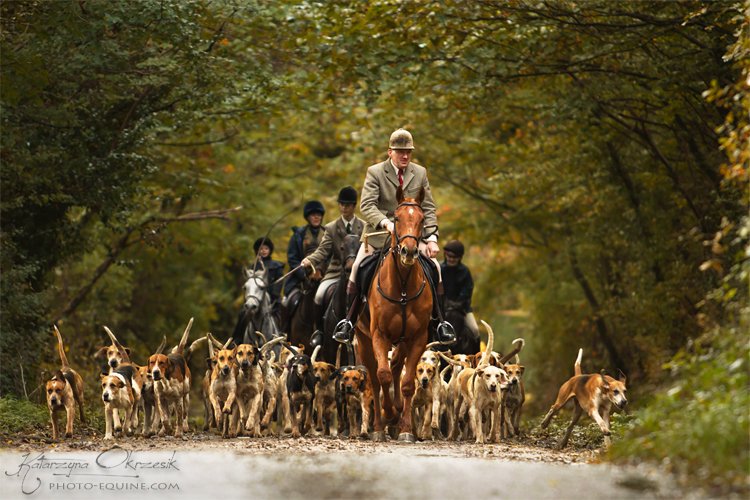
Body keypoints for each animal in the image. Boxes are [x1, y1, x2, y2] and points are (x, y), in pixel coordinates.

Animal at [356, 185, 432, 442]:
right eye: (397, 219)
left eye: (422, 219)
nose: (409, 252)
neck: (403, 285)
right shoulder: (379, 335)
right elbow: (383, 375)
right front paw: (388, 415)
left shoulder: (418, 337)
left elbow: (407, 382)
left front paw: (406, 428)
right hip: (364, 340)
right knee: (375, 377)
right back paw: (380, 426)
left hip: (403, 340)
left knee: (398, 366)